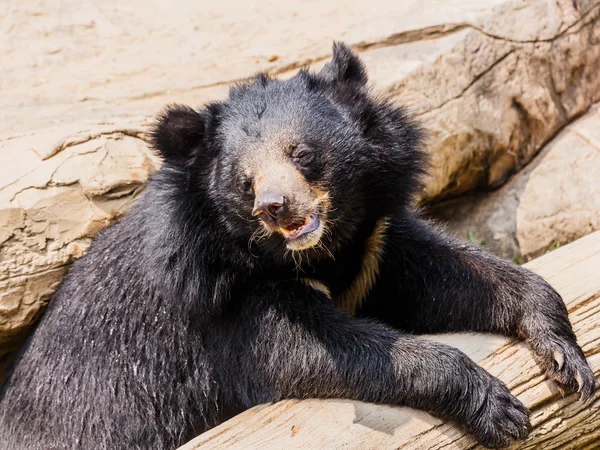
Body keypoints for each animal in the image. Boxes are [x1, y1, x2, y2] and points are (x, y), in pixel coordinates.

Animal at [0, 43, 596, 450]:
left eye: (302, 153)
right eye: (245, 181)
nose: (275, 206)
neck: (308, 253)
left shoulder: (372, 241)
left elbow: (448, 271)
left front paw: (566, 358)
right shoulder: (225, 301)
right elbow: (311, 350)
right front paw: (497, 406)